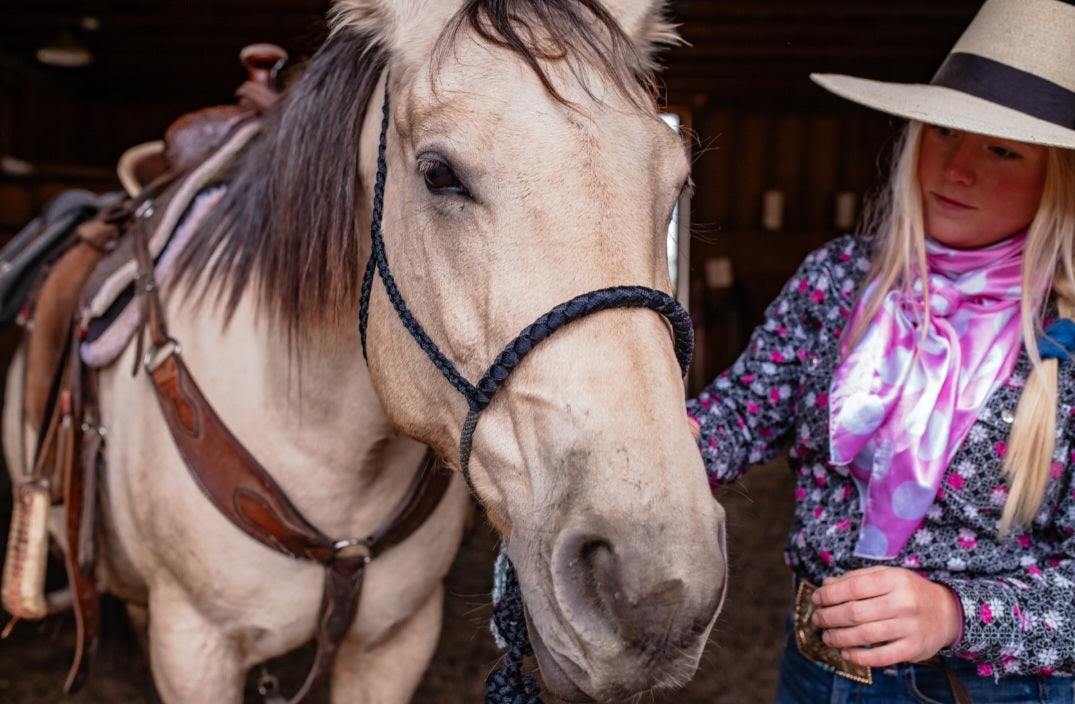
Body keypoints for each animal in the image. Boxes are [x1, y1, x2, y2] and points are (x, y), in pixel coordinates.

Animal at [2, 1, 731, 704]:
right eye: (438, 174)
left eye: (675, 184)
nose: (659, 588)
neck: (325, 449)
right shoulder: (194, 650)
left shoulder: (393, 644)